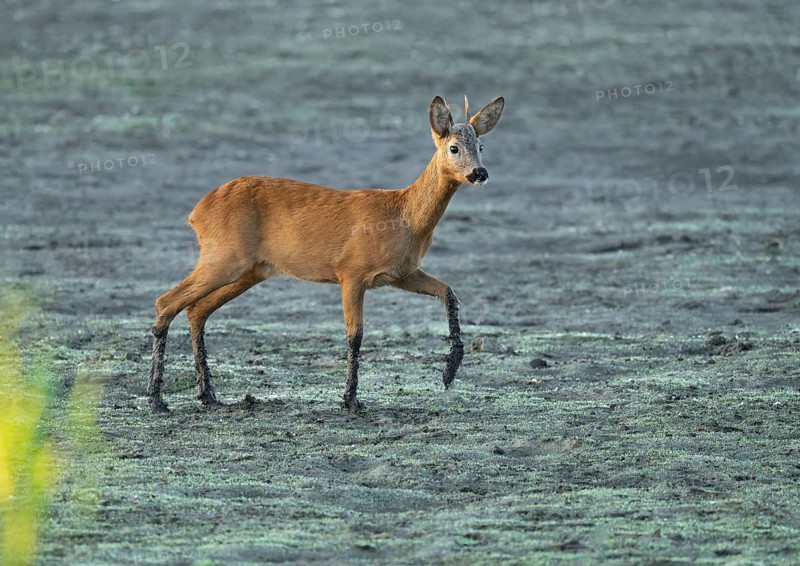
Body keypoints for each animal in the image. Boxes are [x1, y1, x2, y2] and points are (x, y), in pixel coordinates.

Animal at [147, 95, 505, 413]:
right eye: (454, 147)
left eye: (481, 147)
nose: (480, 173)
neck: (404, 215)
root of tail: (197, 212)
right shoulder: (351, 273)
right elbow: (355, 335)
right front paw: (350, 400)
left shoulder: (401, 273)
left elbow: (448, 291)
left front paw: (448, 373)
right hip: (225, 258)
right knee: (167, 302)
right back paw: (157, 400)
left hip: (249, 270)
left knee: (196, 310)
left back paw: (208, 396)